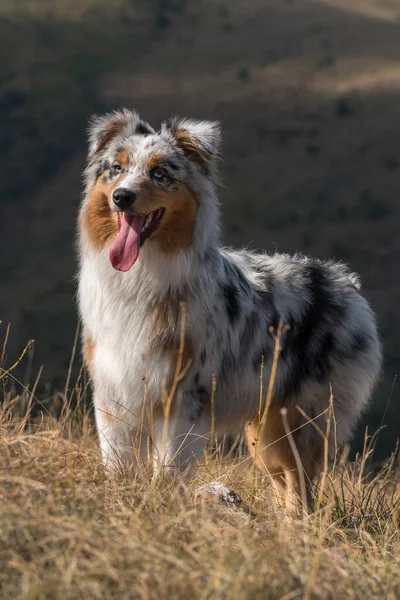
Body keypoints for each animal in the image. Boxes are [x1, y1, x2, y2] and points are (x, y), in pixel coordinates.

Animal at [77, 108, 382, 506]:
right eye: (116, 168)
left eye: (160, 173)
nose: (122, 197)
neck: (140, 277)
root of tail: (346, 282)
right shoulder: (112, 394)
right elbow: (117, 464)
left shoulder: (183, 399)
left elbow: (169, 469)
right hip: (265, 433)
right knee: (285, 487)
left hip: (303, 423)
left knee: (300, 488)